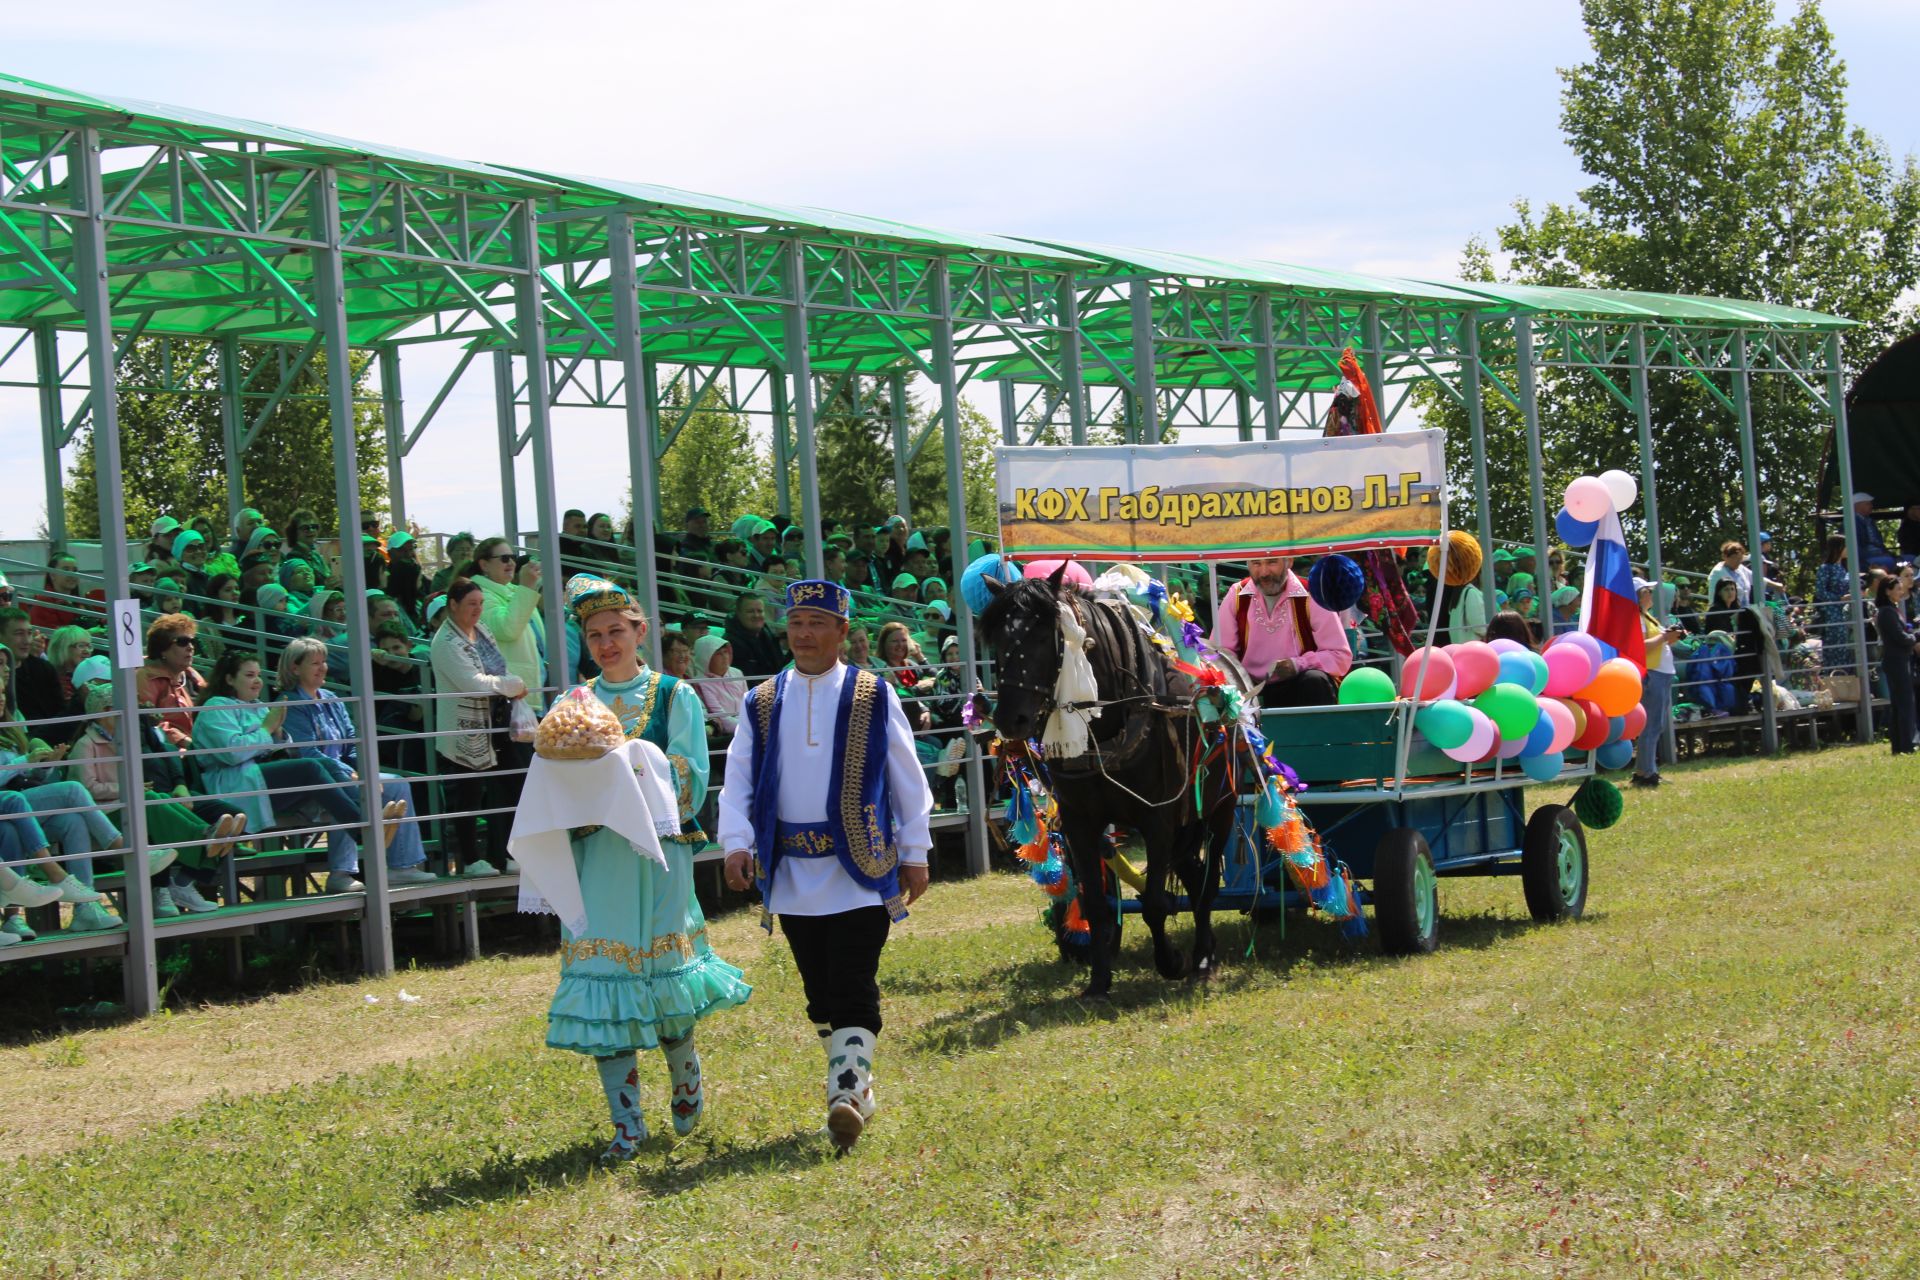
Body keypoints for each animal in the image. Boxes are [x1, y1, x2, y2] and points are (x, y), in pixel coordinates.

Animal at [983, 568, 1236, 997]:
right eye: (998, 640)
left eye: (1044, 636)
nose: (1010, 719)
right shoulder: (1079, 823)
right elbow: (1097, 906)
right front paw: (1099, 981)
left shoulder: (1158, 819)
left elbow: (1154, 903)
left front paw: (1172, 962)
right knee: (1194, 873)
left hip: (1220, 808)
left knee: (1206, 887)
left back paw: (1203, 958)